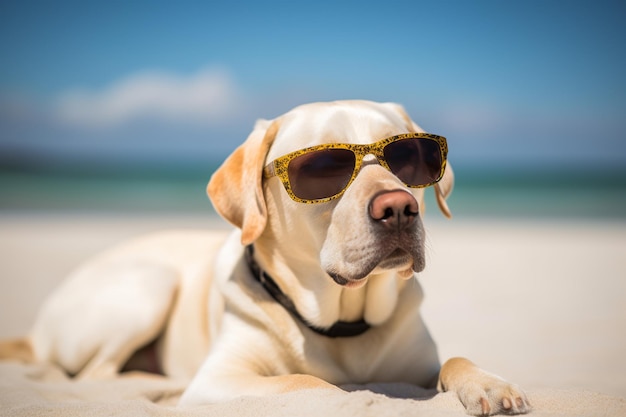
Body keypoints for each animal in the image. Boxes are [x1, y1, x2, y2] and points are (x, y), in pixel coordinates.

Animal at [4, 100, 528, 412]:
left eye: (409, 159)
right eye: (324, 167)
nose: (399, 207)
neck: (342, 324)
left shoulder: (417, 363)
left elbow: (455, 359)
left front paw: (489, 384)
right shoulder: (220, 378)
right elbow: (311, 384)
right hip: (149, 285)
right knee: (98, 373)